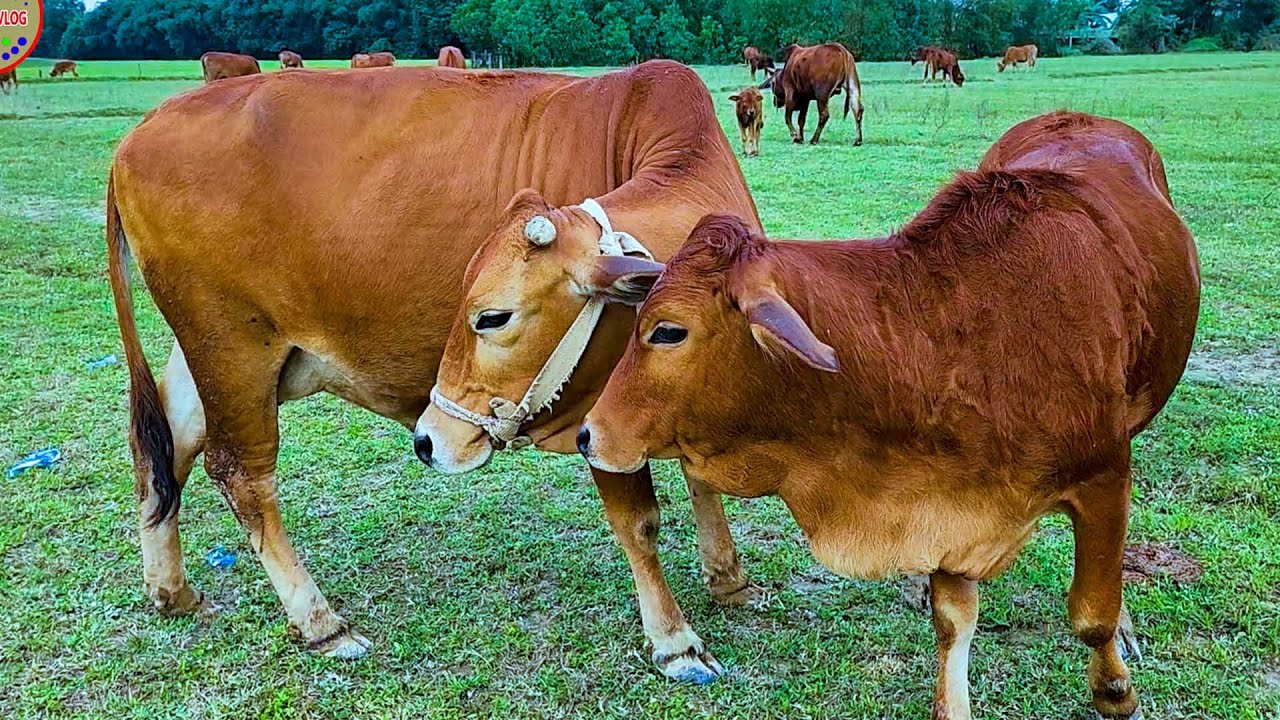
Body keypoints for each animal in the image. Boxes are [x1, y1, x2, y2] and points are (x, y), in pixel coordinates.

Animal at [107, 61, 757, 671]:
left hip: (207, 354)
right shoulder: (601, 415)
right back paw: (320, 622)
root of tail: (140, 133)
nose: (427, 438)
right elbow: (639, 521)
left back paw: (171, 590)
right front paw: (674, 639)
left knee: (163, 447)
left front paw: (727, 576)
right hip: (232, 348)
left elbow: (699, 474)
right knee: (240, 472)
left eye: (491, 317)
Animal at [581, 109, 1198, 712]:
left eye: (668, 331)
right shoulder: (949, 501)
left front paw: (1114, 688)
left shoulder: (1104, 477)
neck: (955, 340)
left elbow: (1093, 614)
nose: (588, 433)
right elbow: (954, 622)